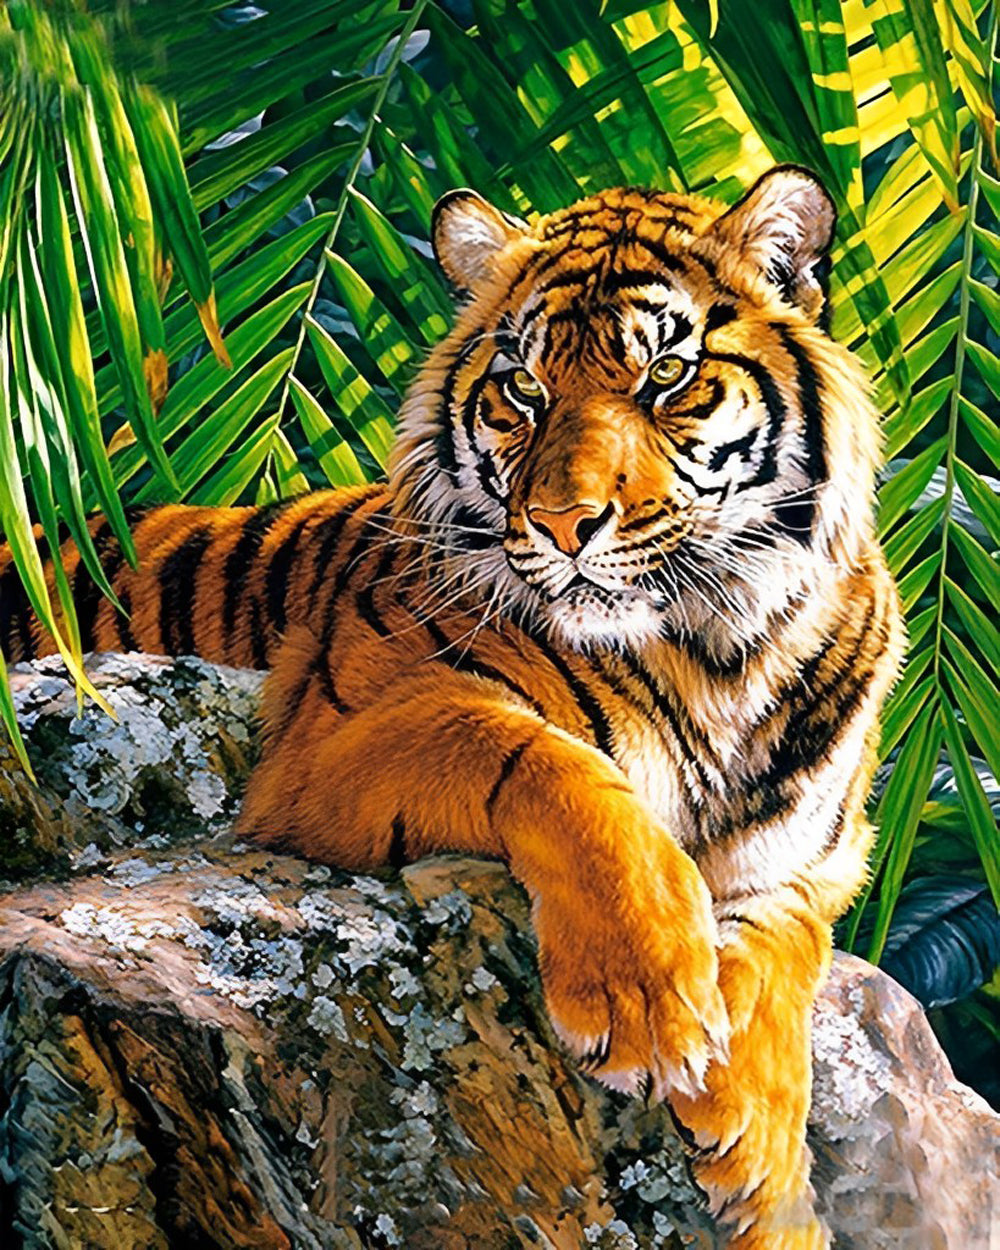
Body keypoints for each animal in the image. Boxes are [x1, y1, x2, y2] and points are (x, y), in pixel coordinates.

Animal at [0, 165, 905, 1248]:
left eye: (664, 377)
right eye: (525, 388)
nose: (562, 524)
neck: (716, 647)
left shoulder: (821, 853)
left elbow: (785, 941)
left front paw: (765, 1169)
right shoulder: (329, 736)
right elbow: (552, 764)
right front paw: (646, 995)